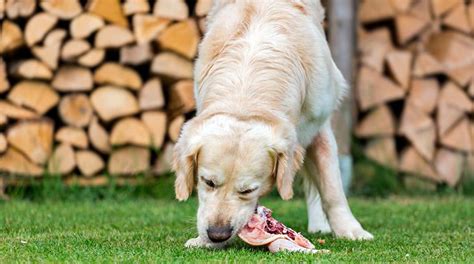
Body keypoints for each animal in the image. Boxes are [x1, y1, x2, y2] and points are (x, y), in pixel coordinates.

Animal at [174, 0, 374, 248]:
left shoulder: (319, 125)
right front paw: (202, 240)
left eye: (249, 190)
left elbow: (331, 187)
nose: (217, 234)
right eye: (208, 182)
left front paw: (350, 229)